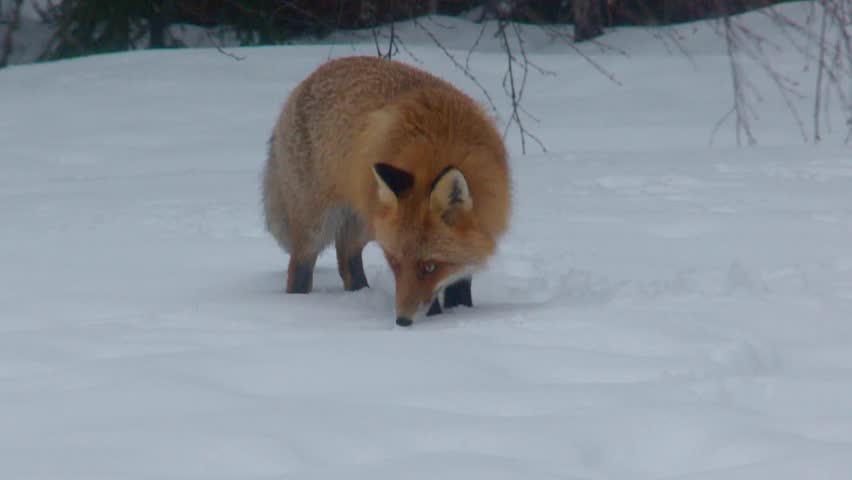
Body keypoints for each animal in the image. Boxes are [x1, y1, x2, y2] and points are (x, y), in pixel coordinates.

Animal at [262, 56, 511, 327]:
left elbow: (460, 281)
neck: (440, 142)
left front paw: (461, 310)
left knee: (346, 255)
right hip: (318, 225)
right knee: (300, 267)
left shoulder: (476, 236)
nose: (402, 321)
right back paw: (299, 303)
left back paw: (360, 292)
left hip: (367, 219)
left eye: (431, 267)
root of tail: (306, 81)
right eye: (394, 262)